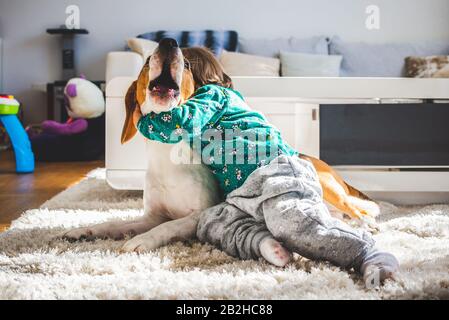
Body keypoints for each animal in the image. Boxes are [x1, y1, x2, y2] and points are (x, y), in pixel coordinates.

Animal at [63, 38, 378, 252]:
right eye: (146, 59)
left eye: (187, 65)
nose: (169, 42)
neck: (167, 156)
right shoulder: (151, 215)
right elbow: (117, 223)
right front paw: (86, 231)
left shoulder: (199, 215)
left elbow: (168, 226)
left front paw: (142, 240)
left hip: (328, 188)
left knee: (360, 209)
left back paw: (369, 224)